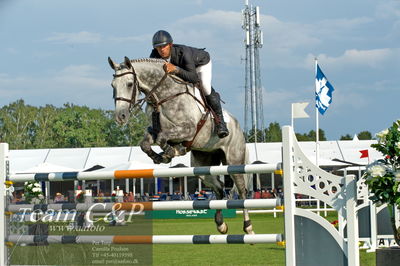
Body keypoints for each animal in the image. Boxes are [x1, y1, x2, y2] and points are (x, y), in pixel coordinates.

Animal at [108, 56, 255, 235]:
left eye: (129, 84)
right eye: (113, 86)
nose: (120, 117)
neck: (164, 96)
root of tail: (239, 127)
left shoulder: (188, 130)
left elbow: (164, 138)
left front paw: (171, 152)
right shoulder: (155, 131)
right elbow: (146, 143)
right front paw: (161, 156)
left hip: (234, 161)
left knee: (241, 191)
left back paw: (248, 227)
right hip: (202, 165)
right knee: (219, 188)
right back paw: (221, 224)